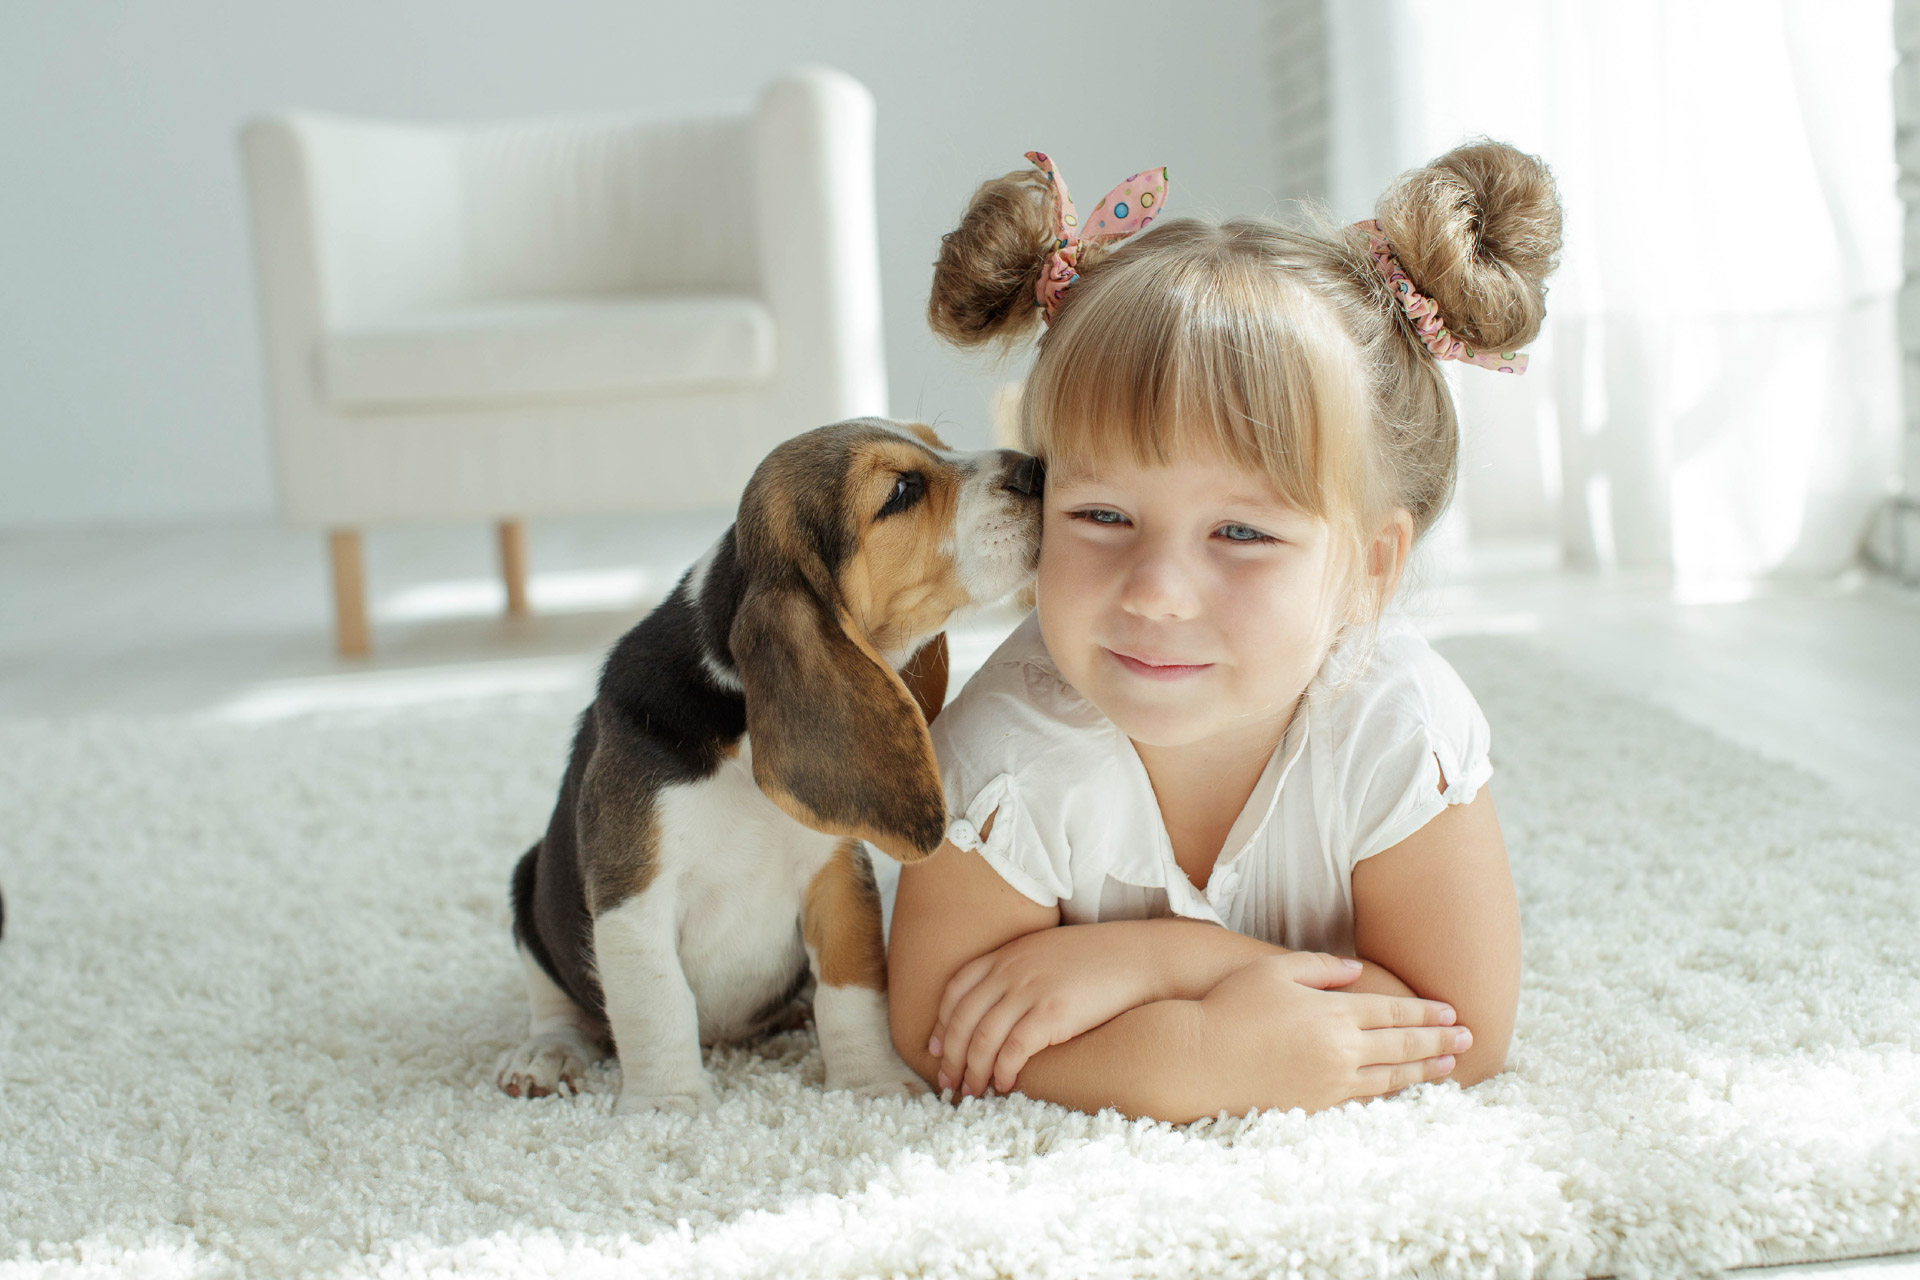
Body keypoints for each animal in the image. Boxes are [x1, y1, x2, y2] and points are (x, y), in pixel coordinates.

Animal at [487, 418, 1044, 1113]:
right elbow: (655, 1001)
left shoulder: (835, 875)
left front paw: (871, 1082)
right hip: (529, 884)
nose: (1039, 470)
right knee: (558, 1007)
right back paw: (544, 1055)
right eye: (901, 491)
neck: (741, 731)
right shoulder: (632, 893)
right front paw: (668, 1106)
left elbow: (851, 990)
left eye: (937, 441)